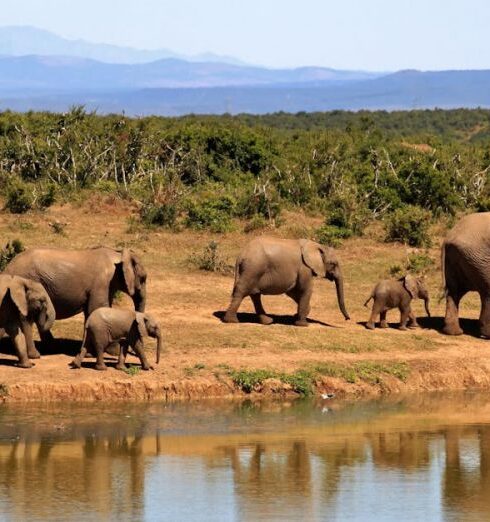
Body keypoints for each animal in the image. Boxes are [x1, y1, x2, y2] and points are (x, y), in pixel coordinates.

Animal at [4, 245, 147, 352]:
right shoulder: (102, 283)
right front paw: (113, 351)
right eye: (143, 278)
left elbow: (91, 312)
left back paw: (52, 346)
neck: (118, 254)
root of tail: (8, 267)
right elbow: (97, 308)